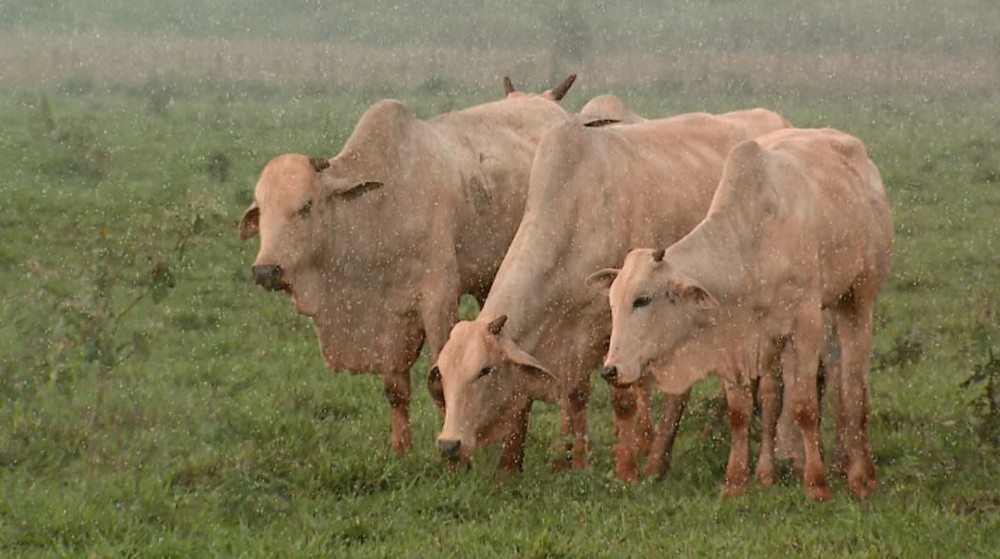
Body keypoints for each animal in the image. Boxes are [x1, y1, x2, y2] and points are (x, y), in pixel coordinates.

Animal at [237, 75, 576, 456]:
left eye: (306, 206)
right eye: (262, 210)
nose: (265, 271)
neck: (382, 208)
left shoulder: (439, 300)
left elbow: (440, 380)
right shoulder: (386, 320)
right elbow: (395, 389)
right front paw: (401, 449)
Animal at [430, 110, 788, 482]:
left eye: (484, 371)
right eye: (442, 374)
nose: (449, 445)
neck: (574, 210)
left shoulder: (608, 331)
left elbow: (620, 399)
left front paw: (625, 470)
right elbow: (573, 395)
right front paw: (569, 462)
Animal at [592, 128, 900, 504]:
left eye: (642, 299)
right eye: (612, 302)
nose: (610, 370)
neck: (753, 245)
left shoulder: (805, 324)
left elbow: (804, 406)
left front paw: (817, 484)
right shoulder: (734, 338)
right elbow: (740, 411)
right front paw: (736, 482)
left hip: (857, 299)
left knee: (853, 386)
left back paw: (861, 476)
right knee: (776, 395)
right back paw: (771, 473)